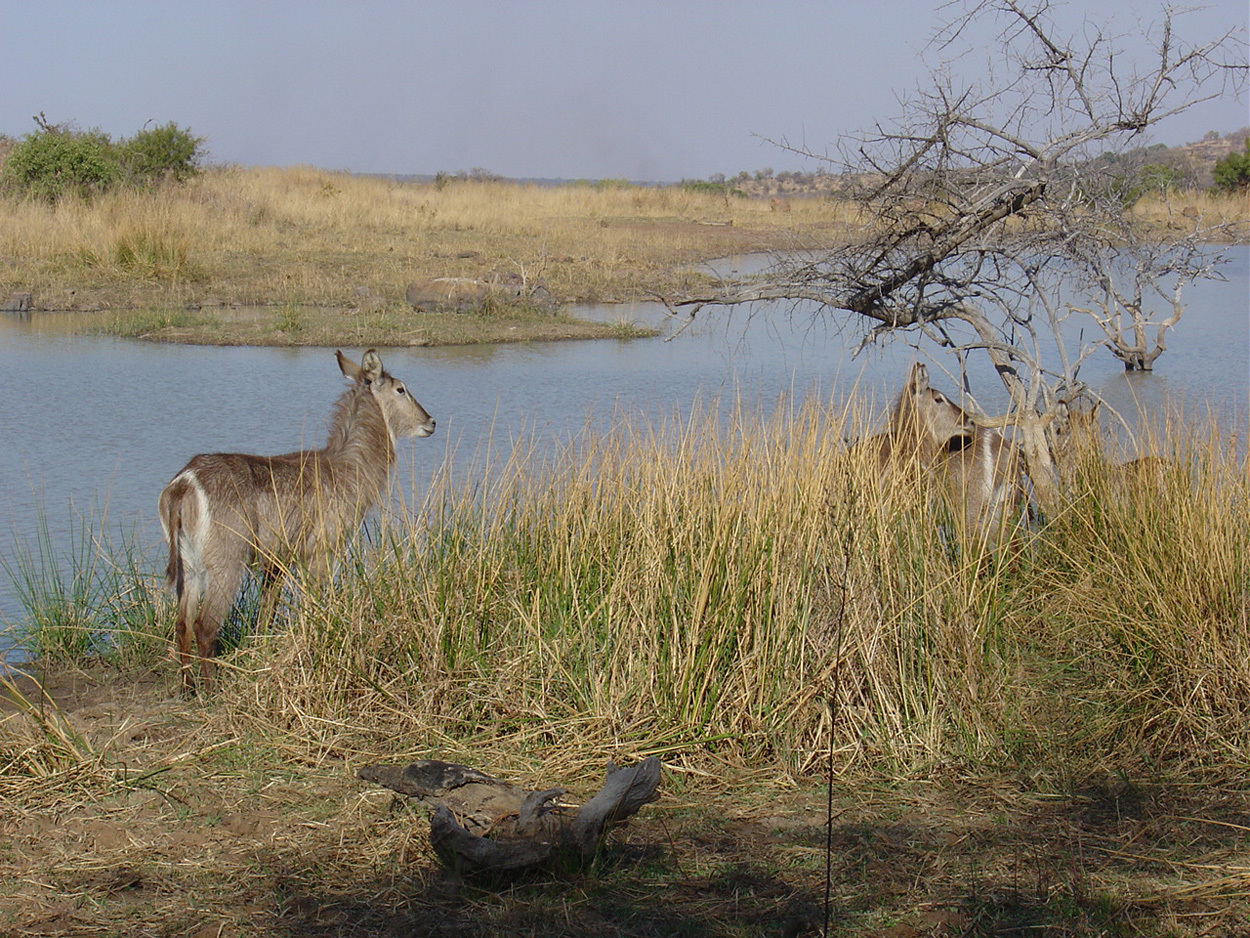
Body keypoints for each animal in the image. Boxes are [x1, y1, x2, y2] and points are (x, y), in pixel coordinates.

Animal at [158, 350, 437, 695]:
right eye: (401, 388)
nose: (430, 422)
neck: (347, 467)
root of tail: (184, 482)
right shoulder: (323, 551)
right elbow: (316, 601)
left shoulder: (278, 560)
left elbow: (266, 614)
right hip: (227, 561)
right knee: (204, 625)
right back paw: (211, 690)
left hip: (190, 565)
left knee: (182, 624)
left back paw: (188, 688)